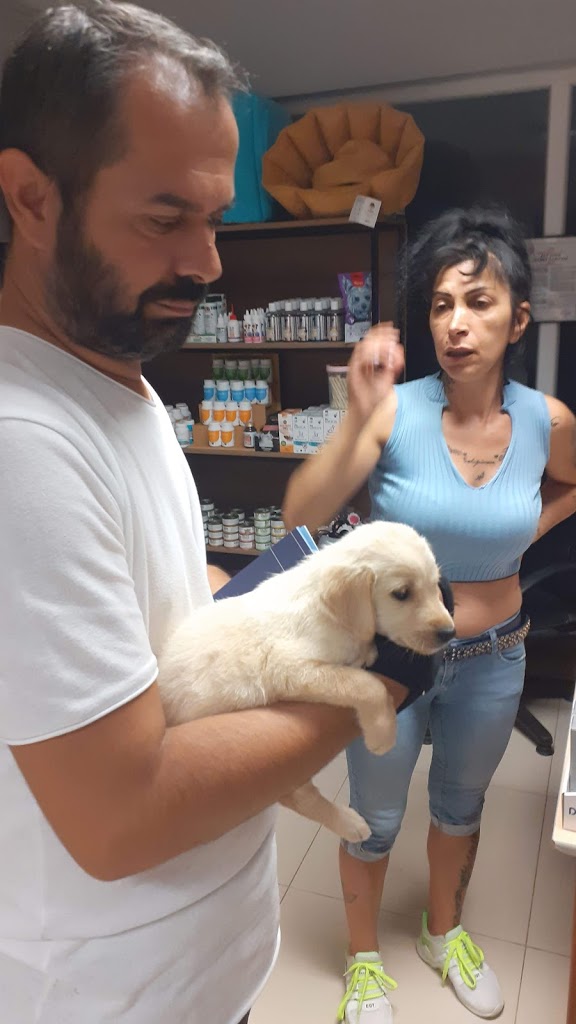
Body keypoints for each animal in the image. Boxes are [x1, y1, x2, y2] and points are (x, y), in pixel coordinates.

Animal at [158, 521, 454, 842]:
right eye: (401, 594)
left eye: (435, 585)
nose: (449, 633)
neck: (329, 611)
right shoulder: (289, 667)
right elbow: (367, 685)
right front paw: (382, 734)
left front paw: (366, 651)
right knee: (299, 797)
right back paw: (351, 824)